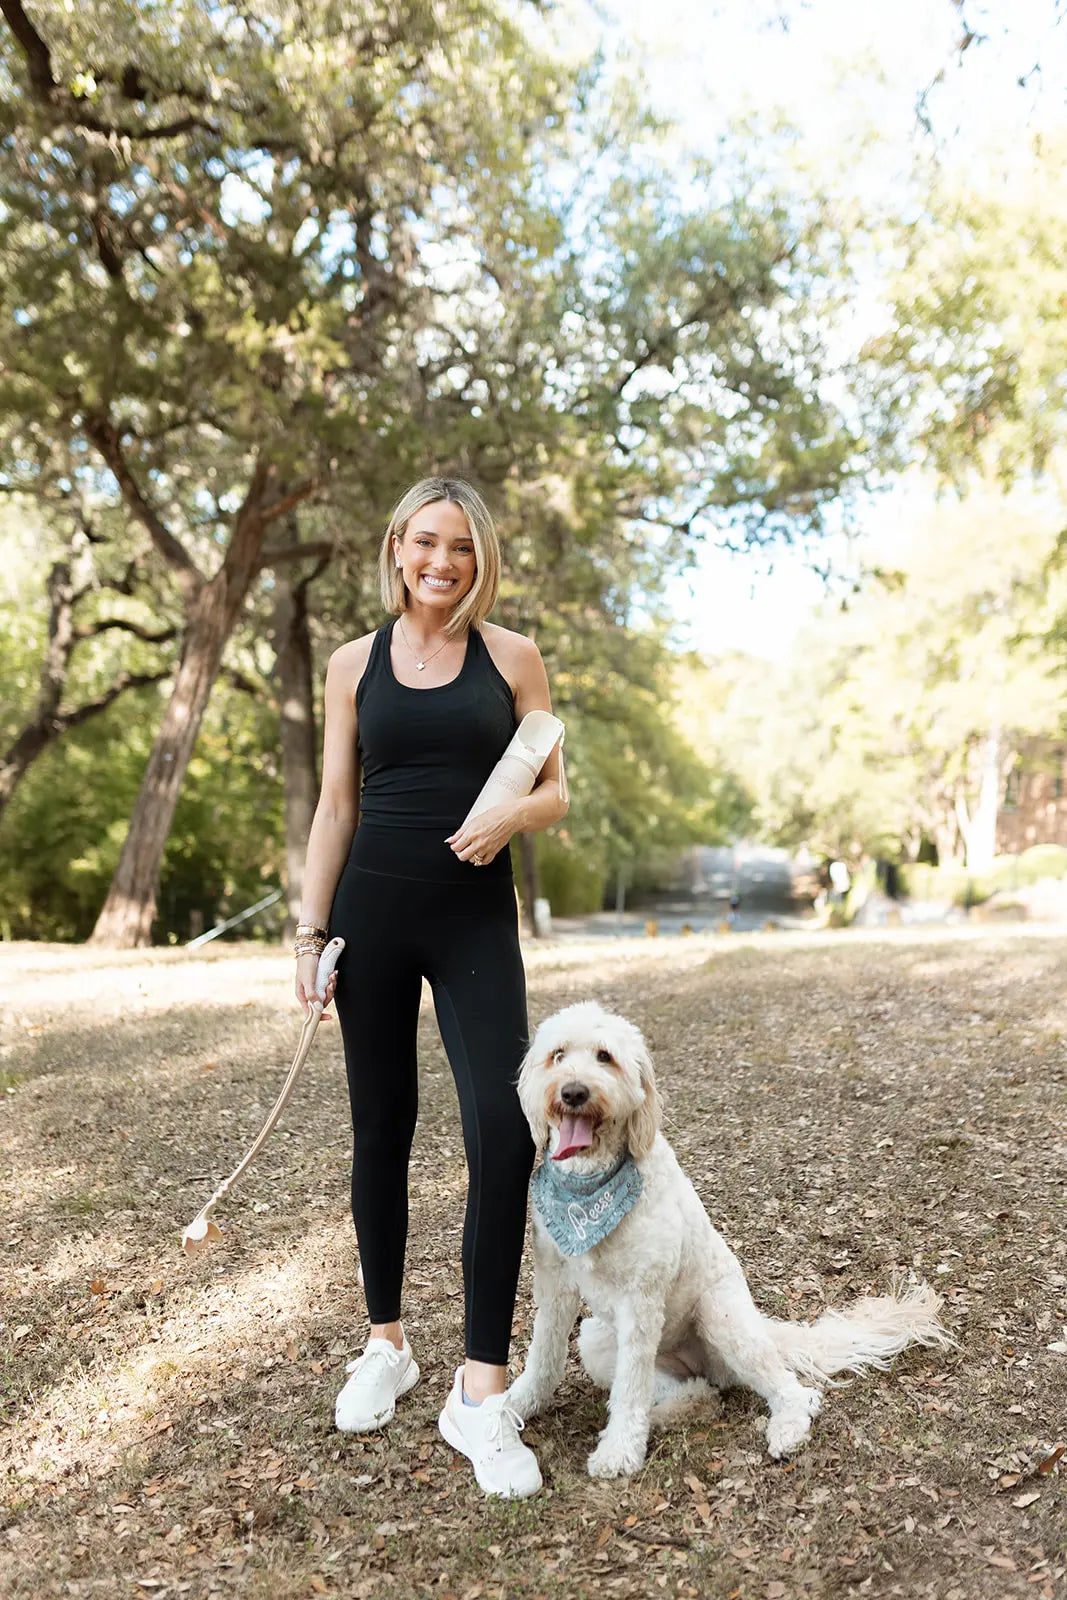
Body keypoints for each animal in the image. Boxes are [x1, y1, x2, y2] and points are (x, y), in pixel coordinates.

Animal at [508, 1004, 953, 1478]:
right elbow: (545, 1355)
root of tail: (763, 1329)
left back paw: (785, 1427)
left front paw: (619, 1451)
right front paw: (515, 1404)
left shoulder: (641, 1298)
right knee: (695, 1392)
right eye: (558, 1055)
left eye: (605, 1056)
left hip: (720, 1317)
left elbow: (629, 1389)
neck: (589, 1187)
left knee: (791, 1390)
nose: (573, 1091)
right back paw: (669, 1414)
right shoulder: (555, 1282)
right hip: (599, 1339)